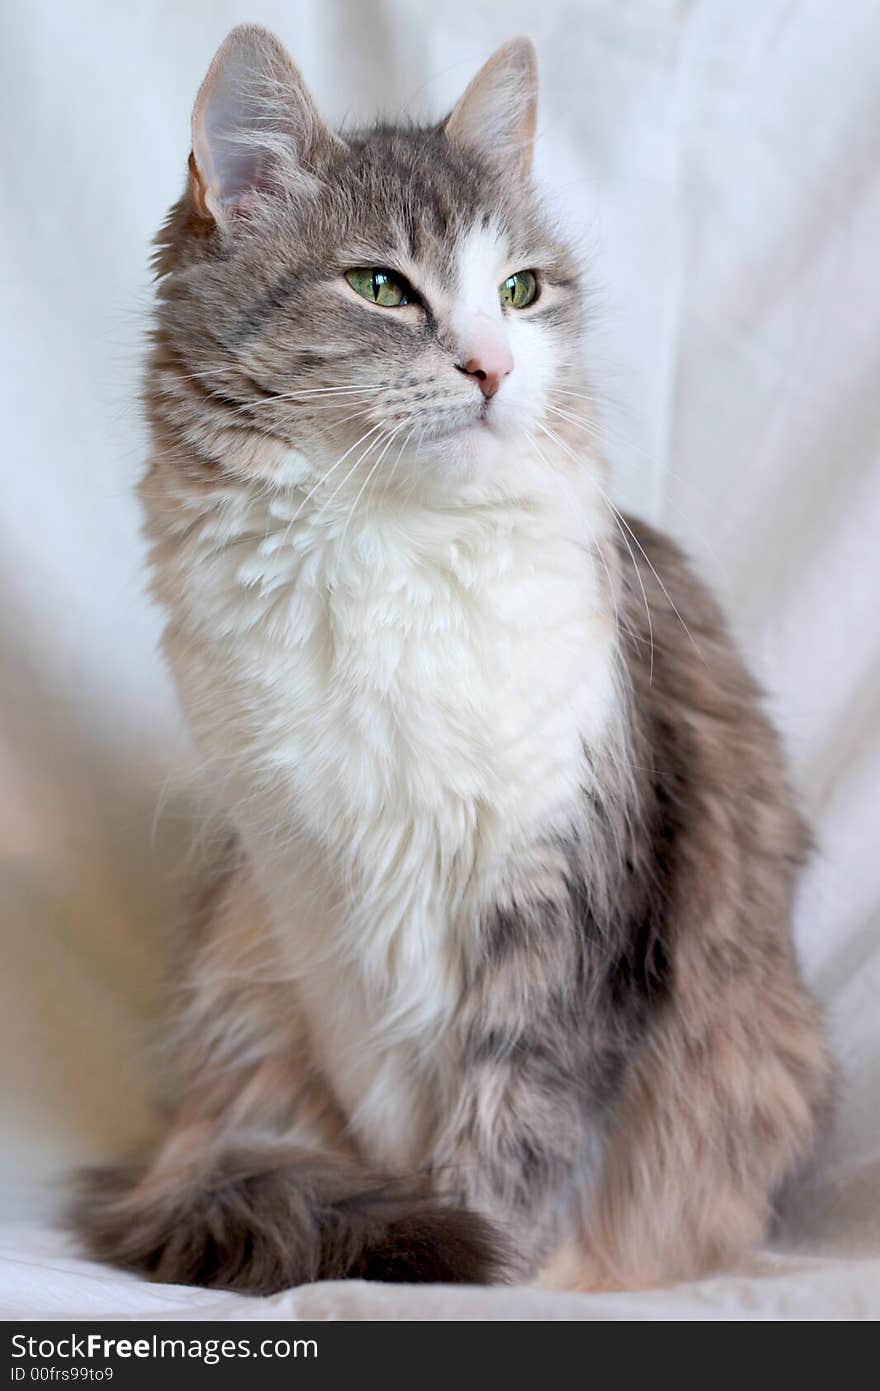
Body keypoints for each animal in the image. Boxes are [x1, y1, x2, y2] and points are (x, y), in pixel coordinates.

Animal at [73, 24, 828, 1290]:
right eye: (382, 286)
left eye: (519, 290)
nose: (492, 366)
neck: (389, 547)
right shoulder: (312, 891)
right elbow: (399, 1109)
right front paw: (421, 1250)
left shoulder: (570, 886)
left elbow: (519, 1120)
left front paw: (501, 1265)